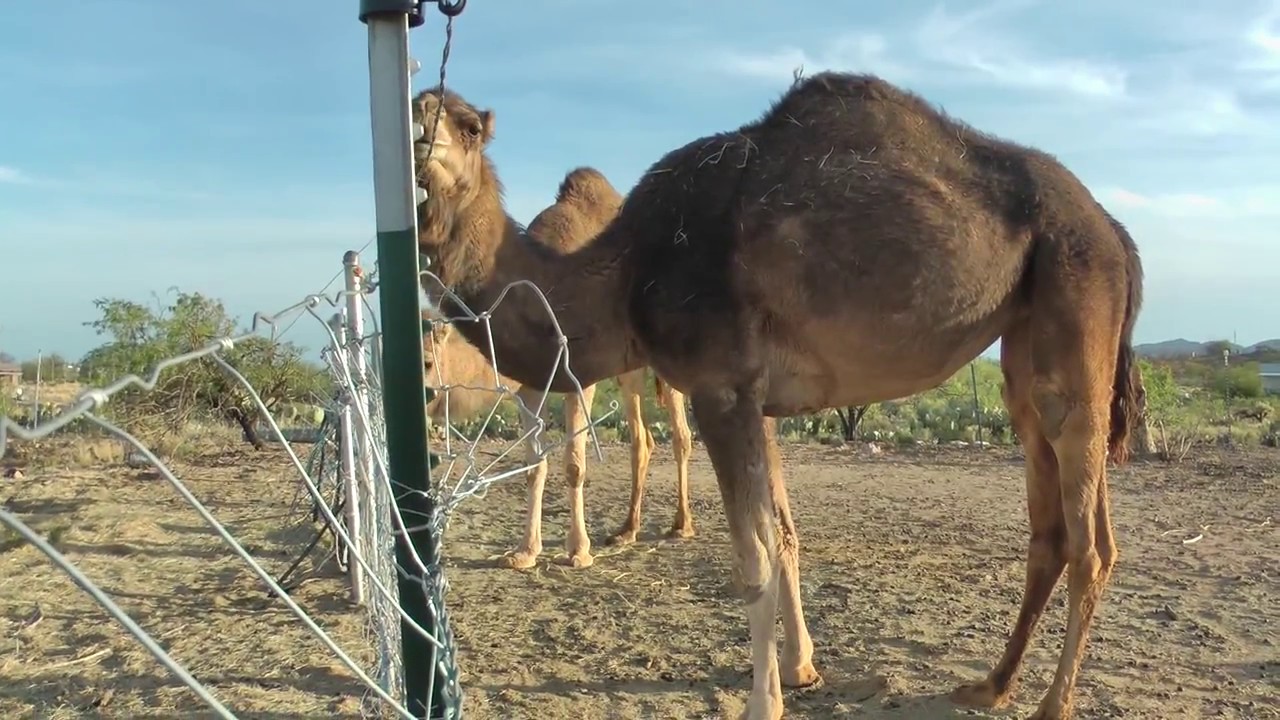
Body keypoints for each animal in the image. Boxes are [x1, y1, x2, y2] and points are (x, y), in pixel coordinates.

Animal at [419, 171, 693, 570]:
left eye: (427, 361)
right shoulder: (529, 389)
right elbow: (535, 465)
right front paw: (524, 552)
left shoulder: (580, 382)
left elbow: (575, 464)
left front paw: (579, 550)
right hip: (628, 371)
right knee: (641, 438)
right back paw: (626, 530)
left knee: (680, 435)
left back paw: (681, 525)